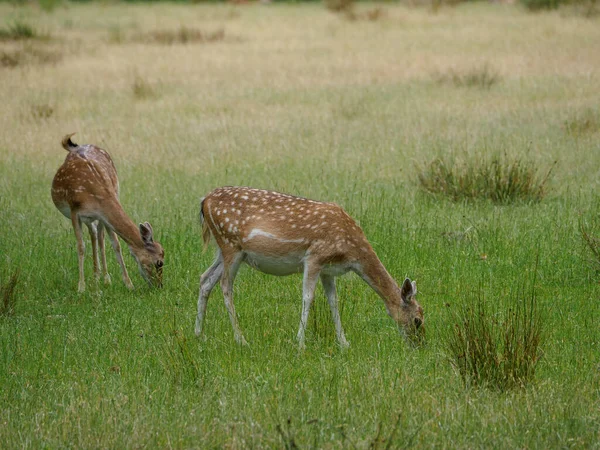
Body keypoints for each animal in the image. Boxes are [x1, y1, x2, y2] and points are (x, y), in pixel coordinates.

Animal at [51, 134, 164, 292]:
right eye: (159, 262)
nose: (159, 286)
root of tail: (77, 147)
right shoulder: (74, 211)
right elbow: (81, 247)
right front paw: (81, 287)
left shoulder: (104, 215)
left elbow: (116, 244)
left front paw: (129, 284)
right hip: (87, 217)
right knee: (93, 234)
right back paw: (96, 277)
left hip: (100, 214)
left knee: (98, 236)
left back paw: (101, 277)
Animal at [195, 186, 424, 348]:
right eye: (417, 320)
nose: (420, 345)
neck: (351, 251)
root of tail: (204, 201)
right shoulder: (314, 256)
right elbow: (308, 297)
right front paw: (300, 343)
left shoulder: (328, 270)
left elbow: (333, 301)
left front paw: (344, 343)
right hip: (230, 244)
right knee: (226, 286)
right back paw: (241, 339)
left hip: (226, 250)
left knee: (205, 279)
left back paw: (199, 334)